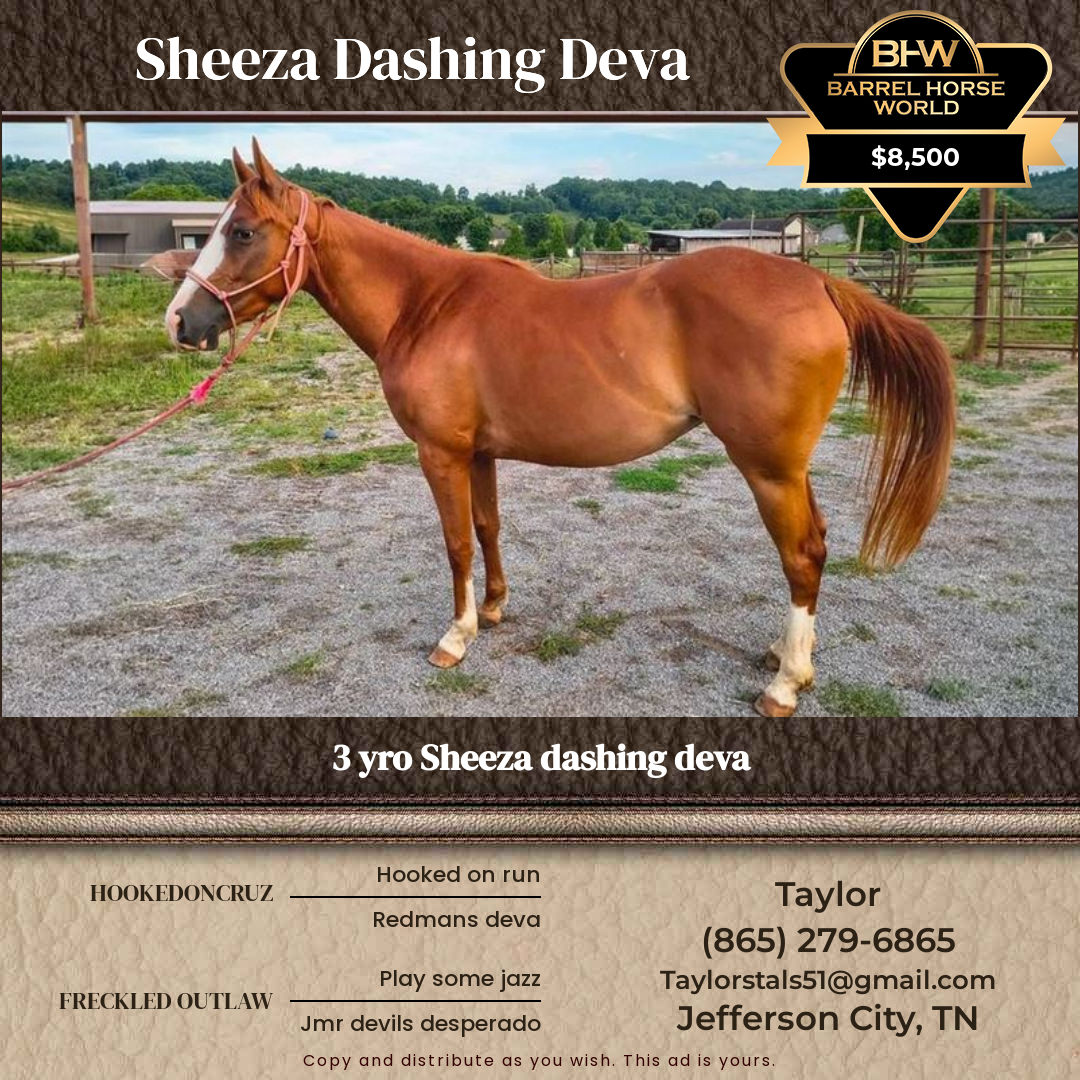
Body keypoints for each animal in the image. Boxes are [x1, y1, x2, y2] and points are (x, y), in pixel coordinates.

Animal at [166, 140, 954, 717]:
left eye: (241, 232)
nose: (180, 322)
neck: (427, 304)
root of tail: (818, 280)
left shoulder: (440, 454)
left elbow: (454, 542)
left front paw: (455, 637)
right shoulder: (479, 453)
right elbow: (487, 529)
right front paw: (493, 609)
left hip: (769, 468)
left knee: (803, 555)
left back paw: (784, 685)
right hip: (786, 469)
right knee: (812, 550)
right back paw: (789, 659)